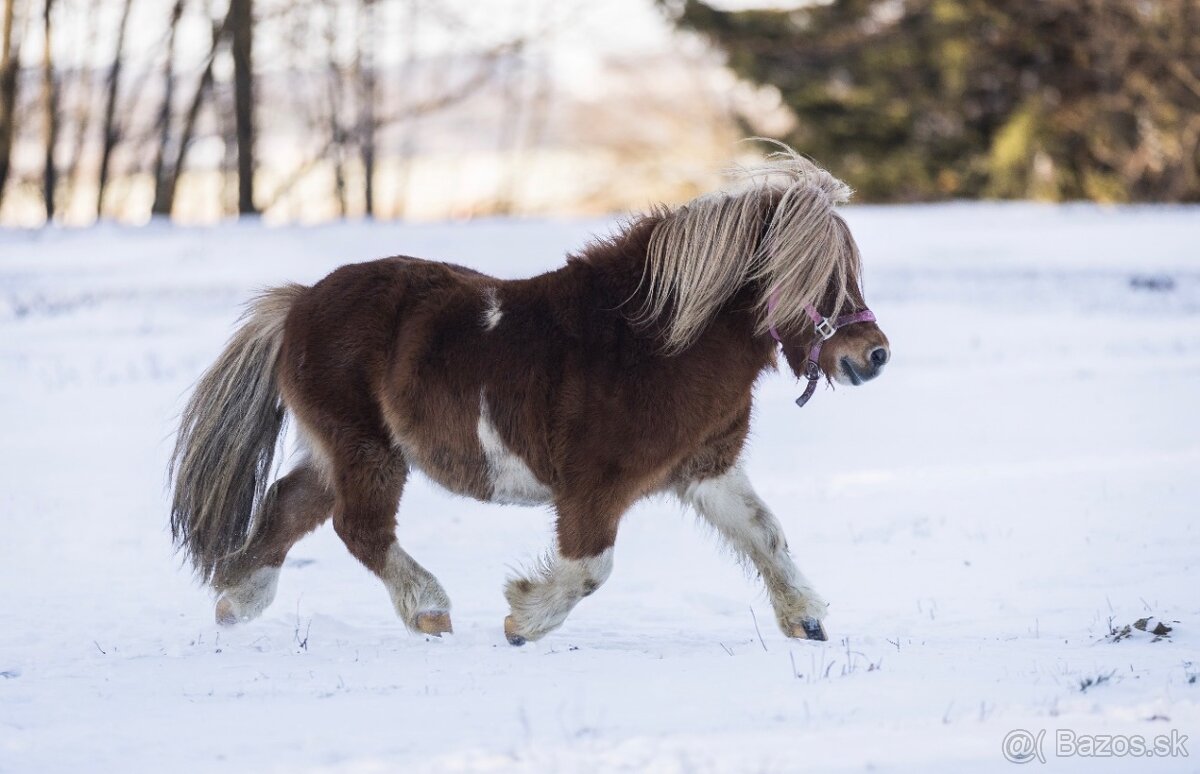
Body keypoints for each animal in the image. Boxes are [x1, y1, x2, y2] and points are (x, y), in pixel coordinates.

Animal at [169, 148, 891, 645]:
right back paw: (428, 609)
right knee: (359, 528)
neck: (655, 343)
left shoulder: (707, 471)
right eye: (820, 279)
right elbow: (591, 568)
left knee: (289, 506)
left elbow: (766, 534)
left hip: (340, 452)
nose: (873, 356)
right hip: (365, 450)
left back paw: (237, 603)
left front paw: (807, 619)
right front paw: (524, 619)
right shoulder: (594, 486)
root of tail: (298, 305)